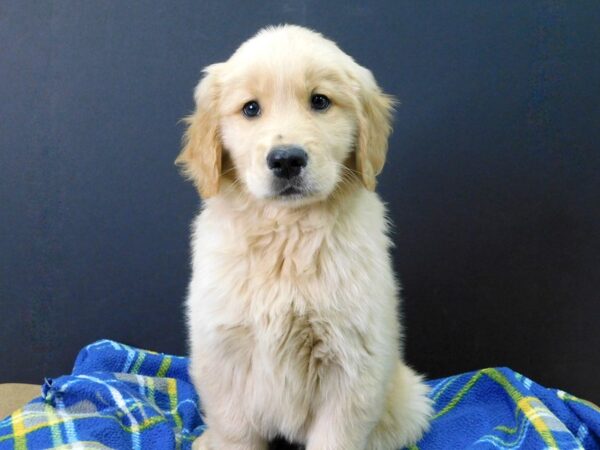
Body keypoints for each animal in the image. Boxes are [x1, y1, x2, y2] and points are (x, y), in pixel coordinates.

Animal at [177, 24, 432, 450]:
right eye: (250, 108)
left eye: (320, 101)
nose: (286, 160)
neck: (287, 233)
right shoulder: (223, 354)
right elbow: (235, 431)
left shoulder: (352, 364)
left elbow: (337, 437)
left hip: (407, 400)